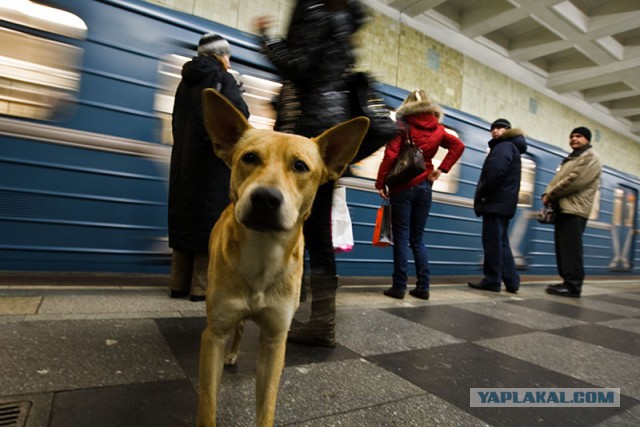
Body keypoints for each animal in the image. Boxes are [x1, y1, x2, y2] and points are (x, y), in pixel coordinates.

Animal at [196, 88, 370, 426]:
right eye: (249, 157)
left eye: (300, 166)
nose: (265, 198)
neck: (262, 256)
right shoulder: (214, 334)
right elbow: (208, 404)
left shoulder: (275, 340)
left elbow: (266, 405)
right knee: (238, 329)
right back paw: (232, 353)